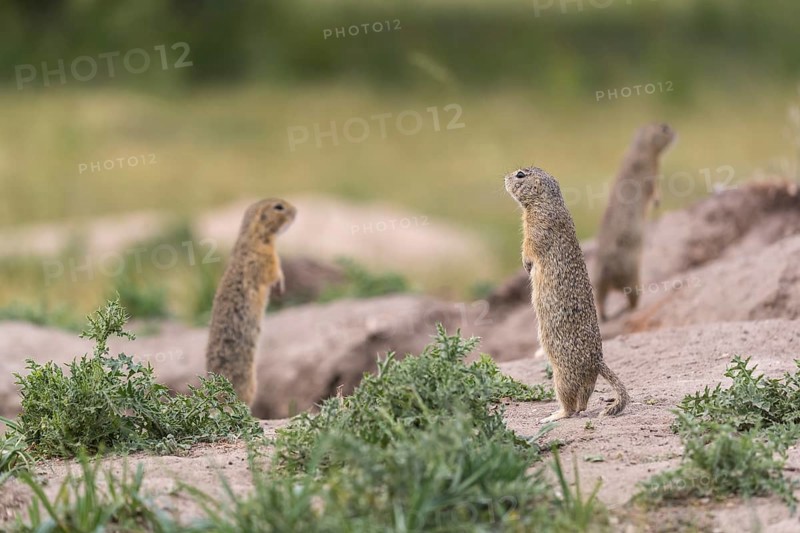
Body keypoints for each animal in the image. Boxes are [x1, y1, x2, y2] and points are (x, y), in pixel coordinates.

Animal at [205, 198, 296, 406]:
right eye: (279, 207)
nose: (296, 210)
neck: (252, 237)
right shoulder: (267, 259)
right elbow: (274, 272)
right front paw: (280, 284)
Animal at [505, 167, 628, 422]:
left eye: (520, 174)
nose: (504, 177)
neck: (547, 201)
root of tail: (597, 362)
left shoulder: (537, 227)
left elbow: (529, 247)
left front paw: (526, 265)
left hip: (562, 374)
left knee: (570, 406)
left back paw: (553, 416)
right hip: (583, 381)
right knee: (583, 402)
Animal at [593, 123, 676, 321]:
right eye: (664, 128)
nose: (676, 133)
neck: (640, 148)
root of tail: (605, 271)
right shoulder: (651, 174)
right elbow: (653, 190)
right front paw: (657, 201)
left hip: (599, 283)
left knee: (601, 300)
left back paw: (605, 315)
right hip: (633, 276)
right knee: (632, 299)